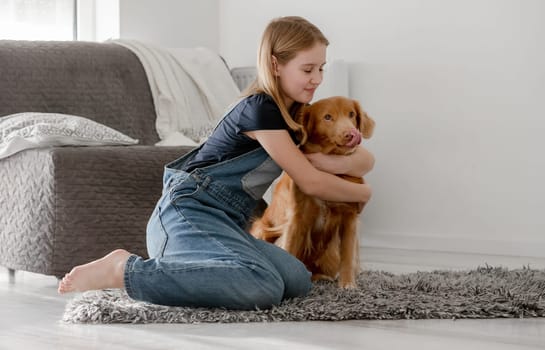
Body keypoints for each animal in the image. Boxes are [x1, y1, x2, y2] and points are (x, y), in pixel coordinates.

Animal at [250, 95, 374, 288]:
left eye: (352, 114)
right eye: (328, 117)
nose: (351, 134)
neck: (332, 173)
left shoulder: (350, 217)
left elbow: (348, 255)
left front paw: (347, 284)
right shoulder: (297, 217)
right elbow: (290, 248)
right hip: (261, 228)